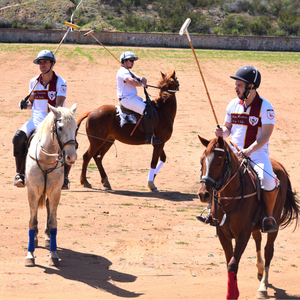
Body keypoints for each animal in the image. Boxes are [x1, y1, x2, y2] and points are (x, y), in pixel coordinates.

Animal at [24, 103, 77, 268]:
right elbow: (32, 221)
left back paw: (47, 238)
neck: (46, 160)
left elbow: (53, 221)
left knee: (47, 209)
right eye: (60, 128)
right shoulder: (32, 191)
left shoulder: (55, 192)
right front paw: (30, 255)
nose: (71, 157)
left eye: (76, 128)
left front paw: (53, 255)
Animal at [198, 137, 298, 300]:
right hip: (256, 225)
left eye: (219, 161)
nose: (203, 194)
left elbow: (233, 264)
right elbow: (229, 261)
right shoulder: (223, 234)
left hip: (274, 224)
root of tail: (279, 165)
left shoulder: (242, 234)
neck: (230, 197)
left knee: (268, 250)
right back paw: (260, 270)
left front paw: (233, 294)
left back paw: (263, 286)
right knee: (258, 238)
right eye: (202, 161)